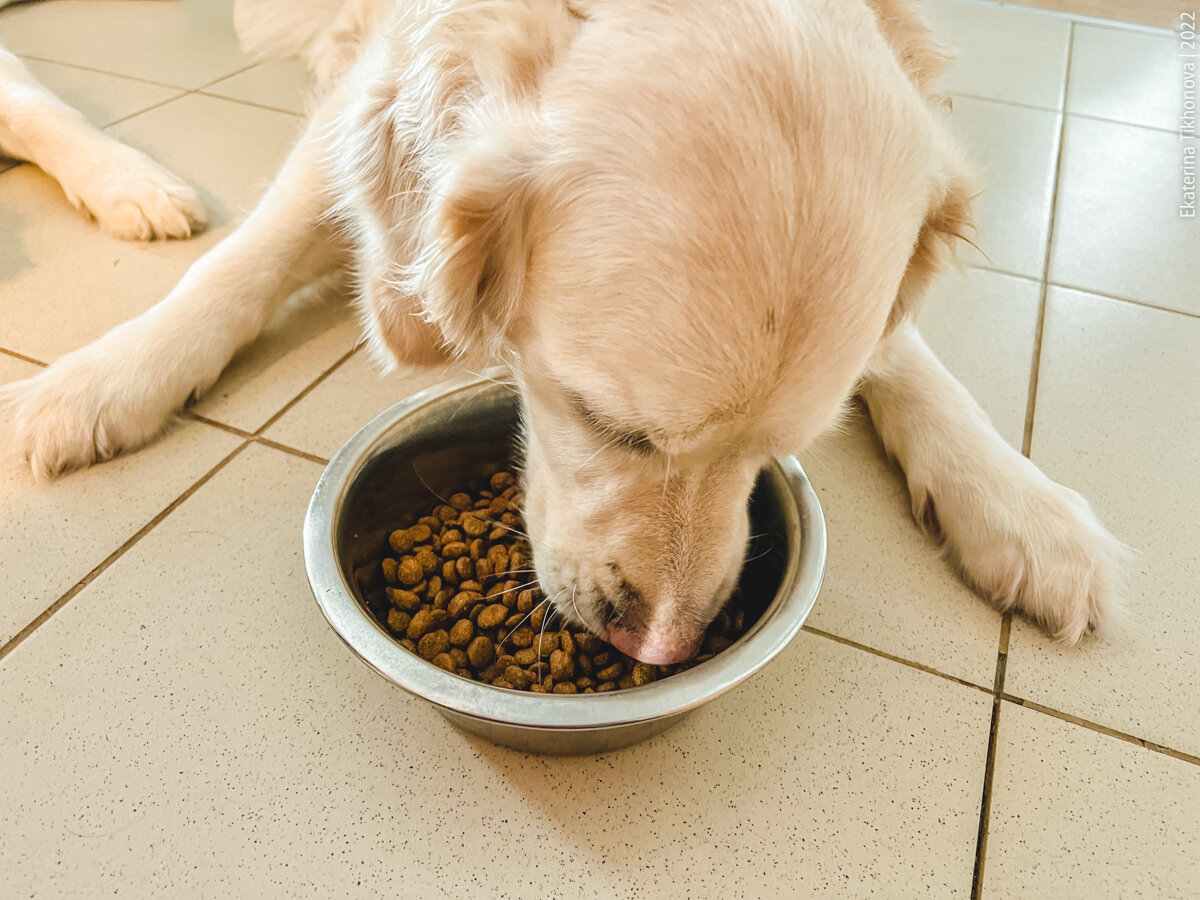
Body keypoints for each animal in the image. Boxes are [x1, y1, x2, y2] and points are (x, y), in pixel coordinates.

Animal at [0, 0, 1123, 662]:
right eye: (602, 420)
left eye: (782, 452)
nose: (662, 650)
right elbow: (249, 259)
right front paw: (103, 379)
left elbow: (910, 359)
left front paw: (1022, 510)